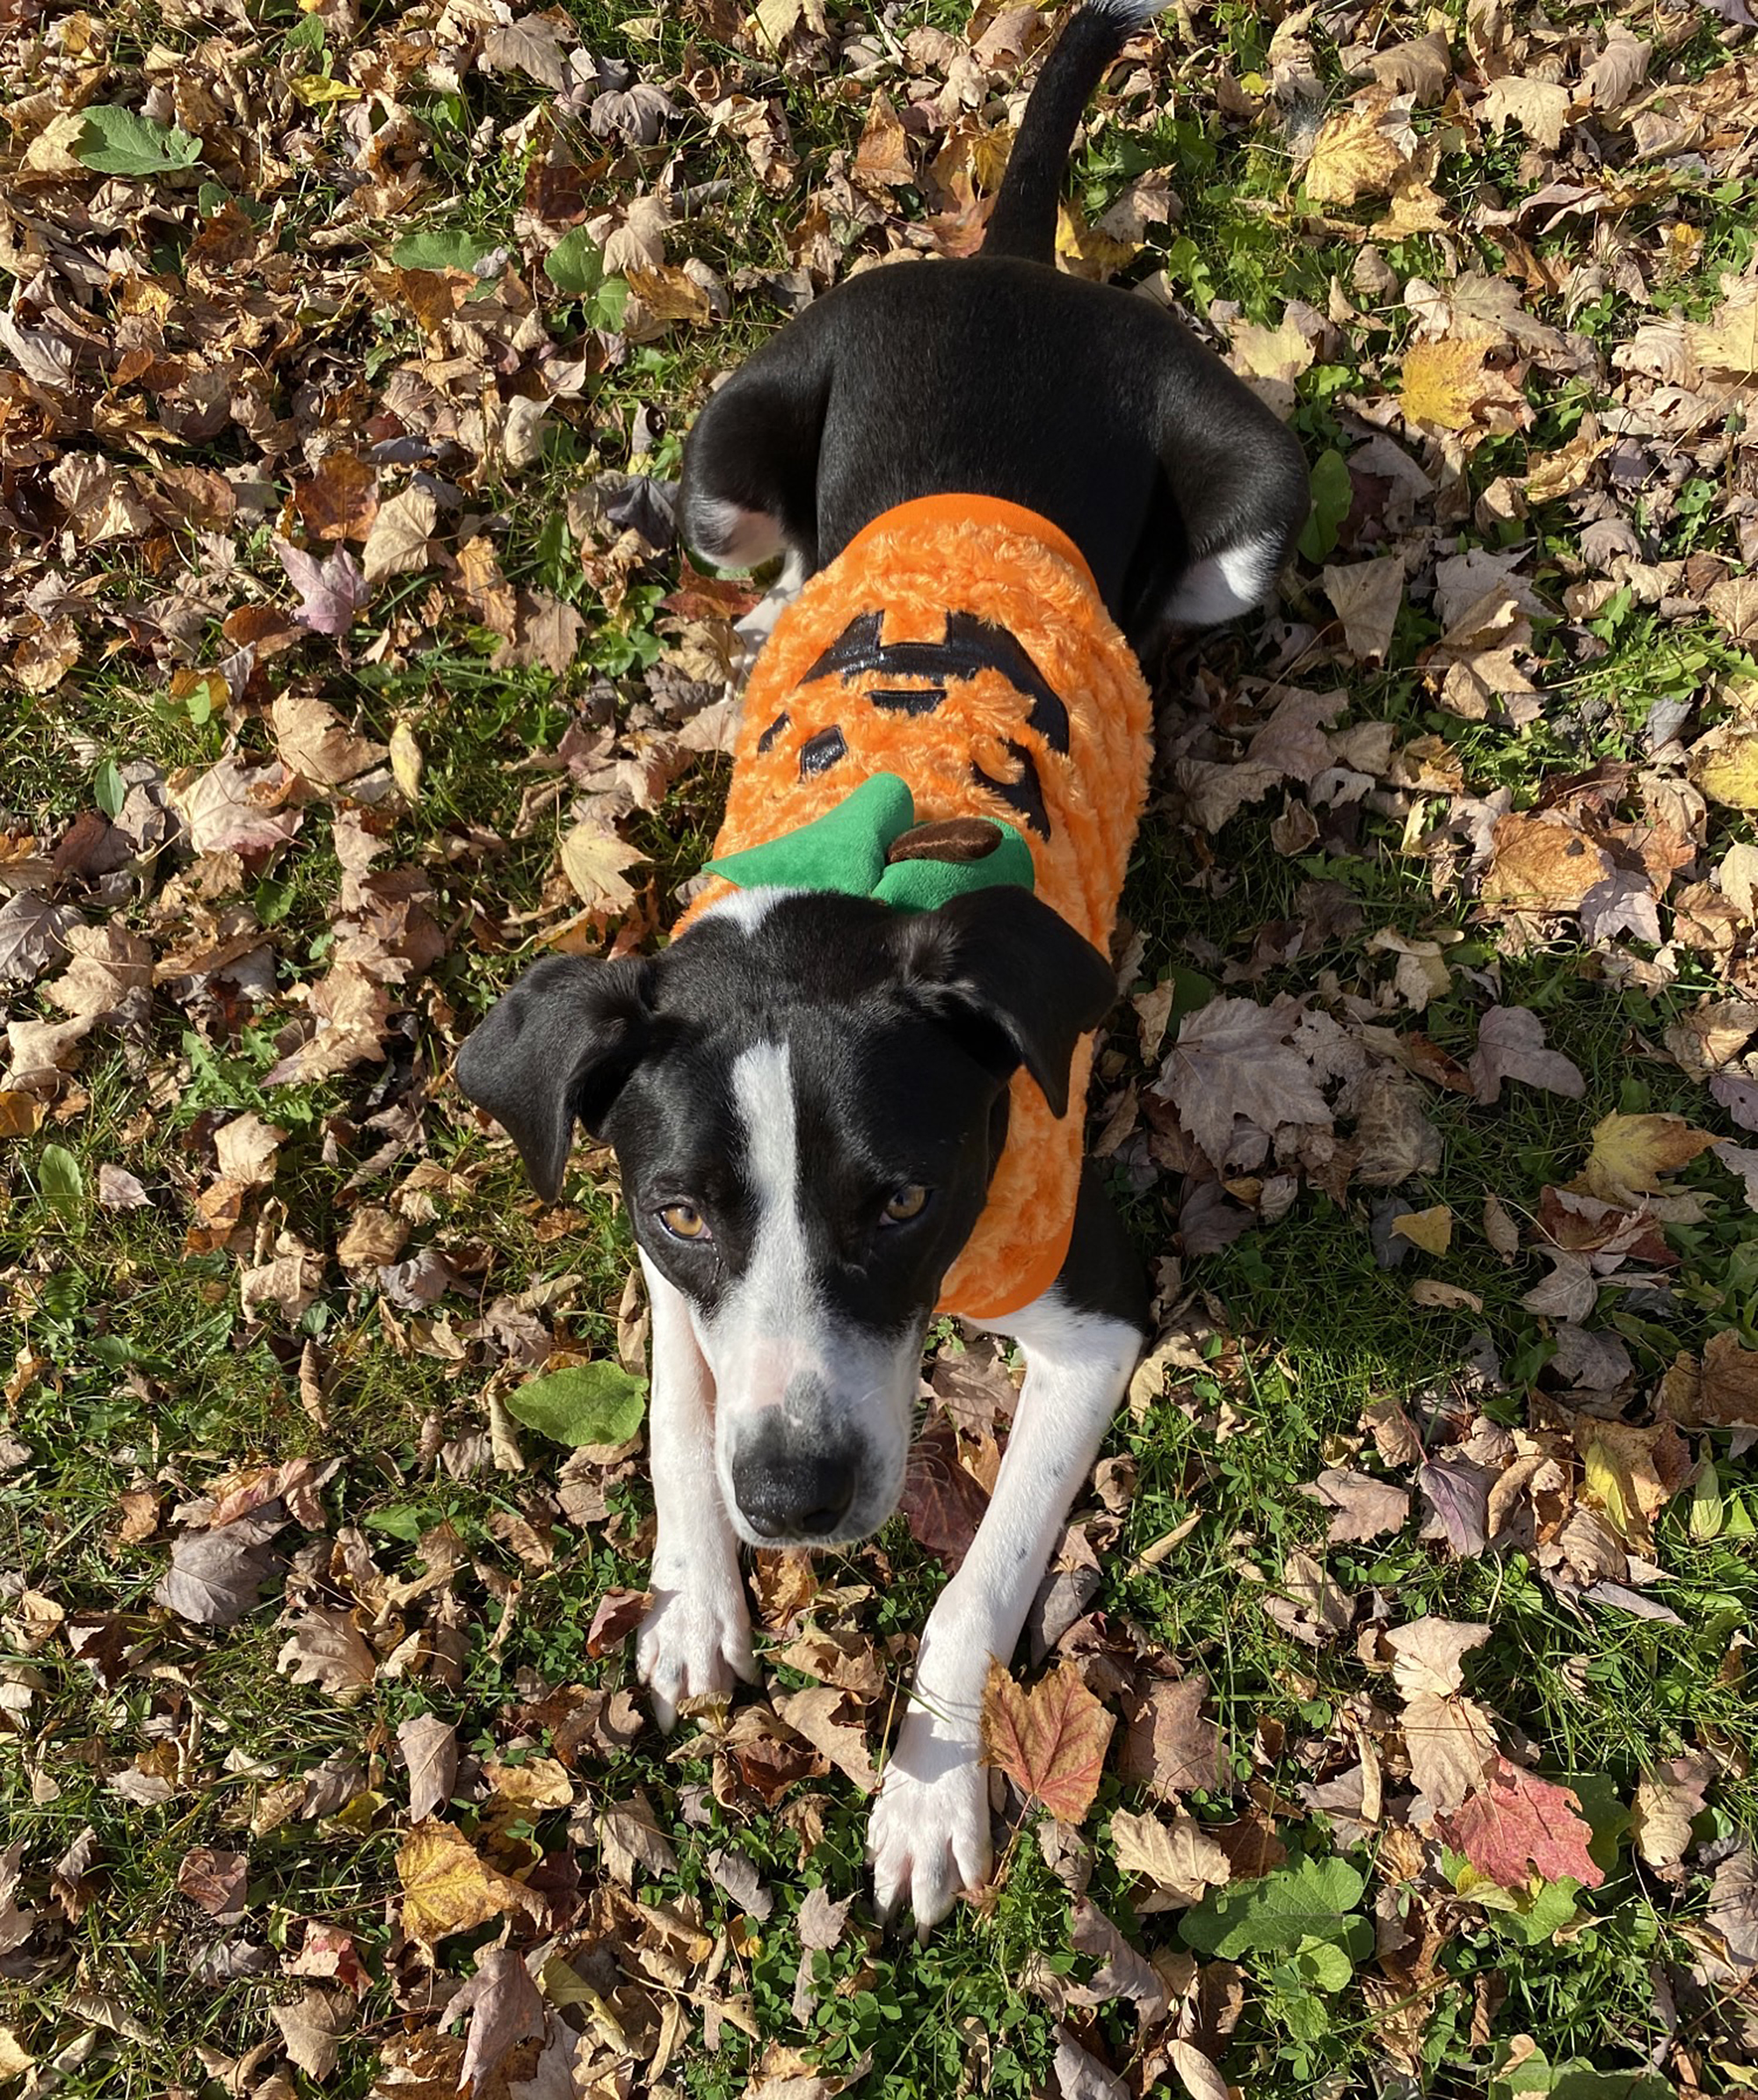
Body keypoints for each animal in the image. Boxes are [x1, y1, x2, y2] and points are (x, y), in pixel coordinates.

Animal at [457, 0, 1308, 1933]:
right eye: (685, 1207)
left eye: (906, 1198)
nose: (794, 1494)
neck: (832, 894)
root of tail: (1010, 267)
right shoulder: (652, 1221)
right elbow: (670, 1406)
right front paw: (695, 1596)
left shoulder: (1095, 1302)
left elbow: (975, 1582)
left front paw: (927, 1790)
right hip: (722, 461)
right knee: (752, 540)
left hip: (1247, 512)